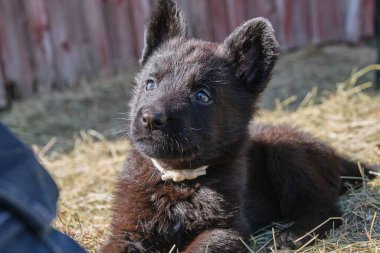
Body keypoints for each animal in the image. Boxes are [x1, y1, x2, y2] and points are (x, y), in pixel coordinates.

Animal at [101, 0, 378, 252]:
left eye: (202, 95)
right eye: (150, 84)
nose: (150, 118)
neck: (178, 179)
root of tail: (336, 155)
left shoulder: (226, 229)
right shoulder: (127, 230)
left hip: (287, 153)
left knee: (325, 210)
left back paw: (292, 236)